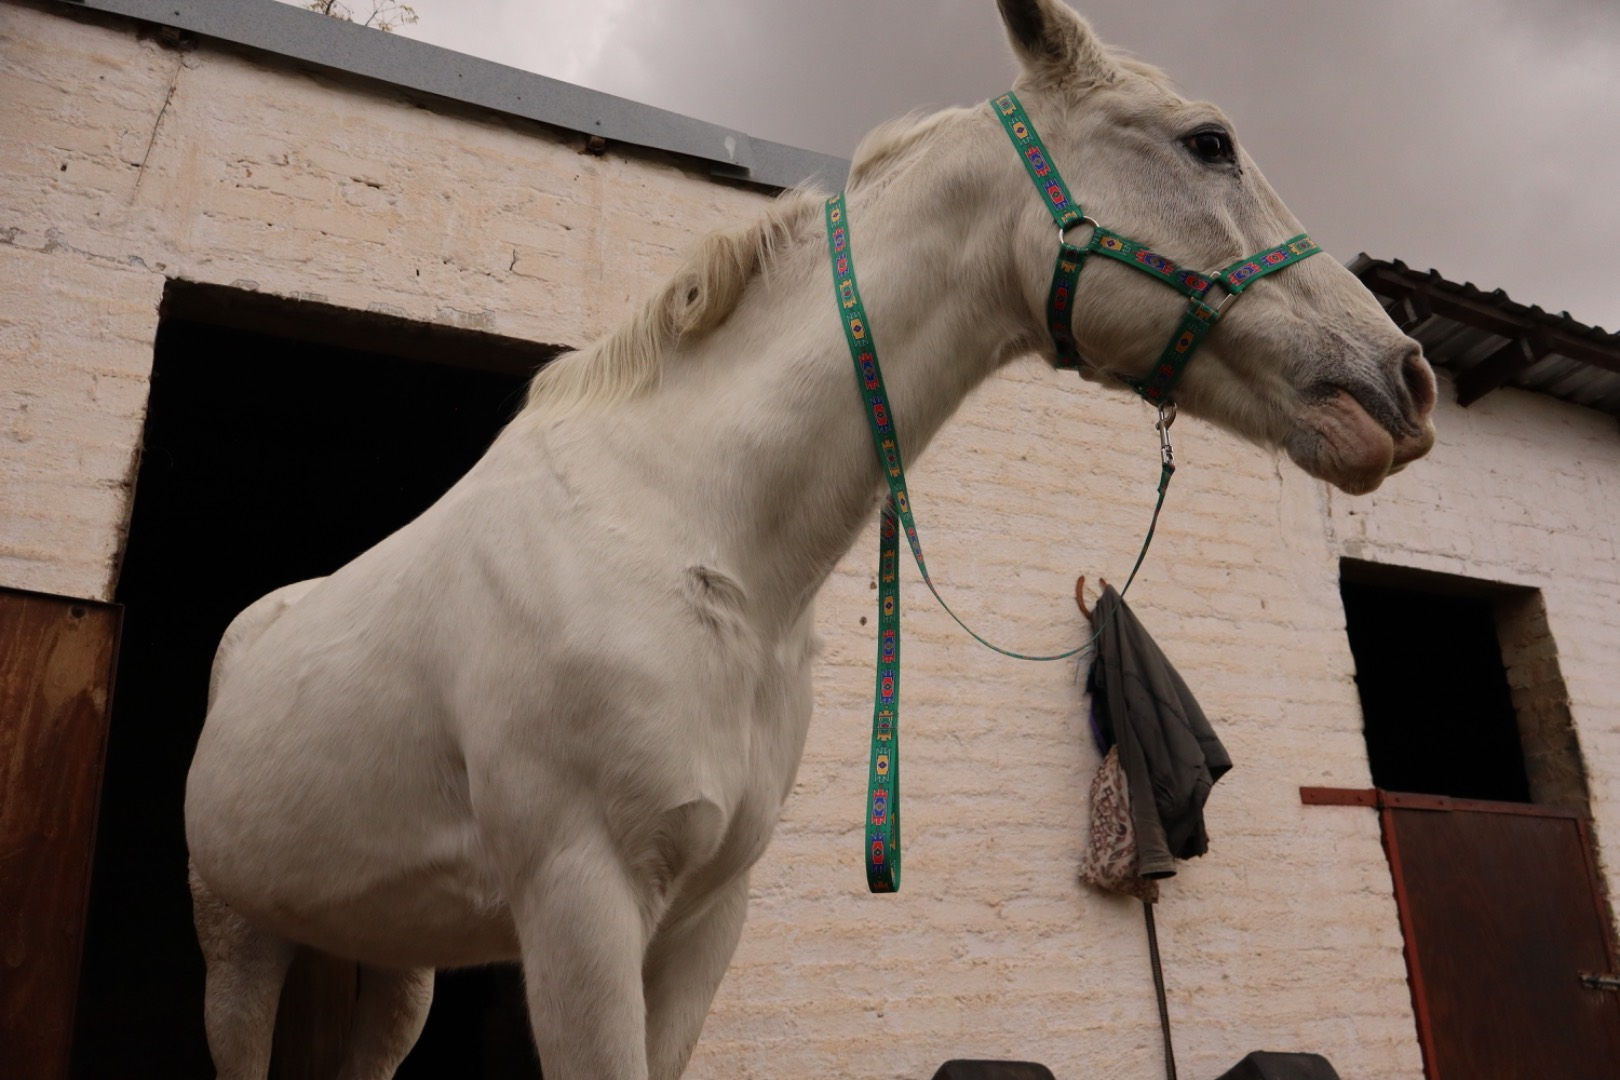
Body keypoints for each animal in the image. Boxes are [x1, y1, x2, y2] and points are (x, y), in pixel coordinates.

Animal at [183, 2, 1436, 1077]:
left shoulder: (705, 919)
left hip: (387, 954)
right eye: (1208, 142)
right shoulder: (579, 911)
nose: (1405, 381)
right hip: (239, 941)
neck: (692, 542)